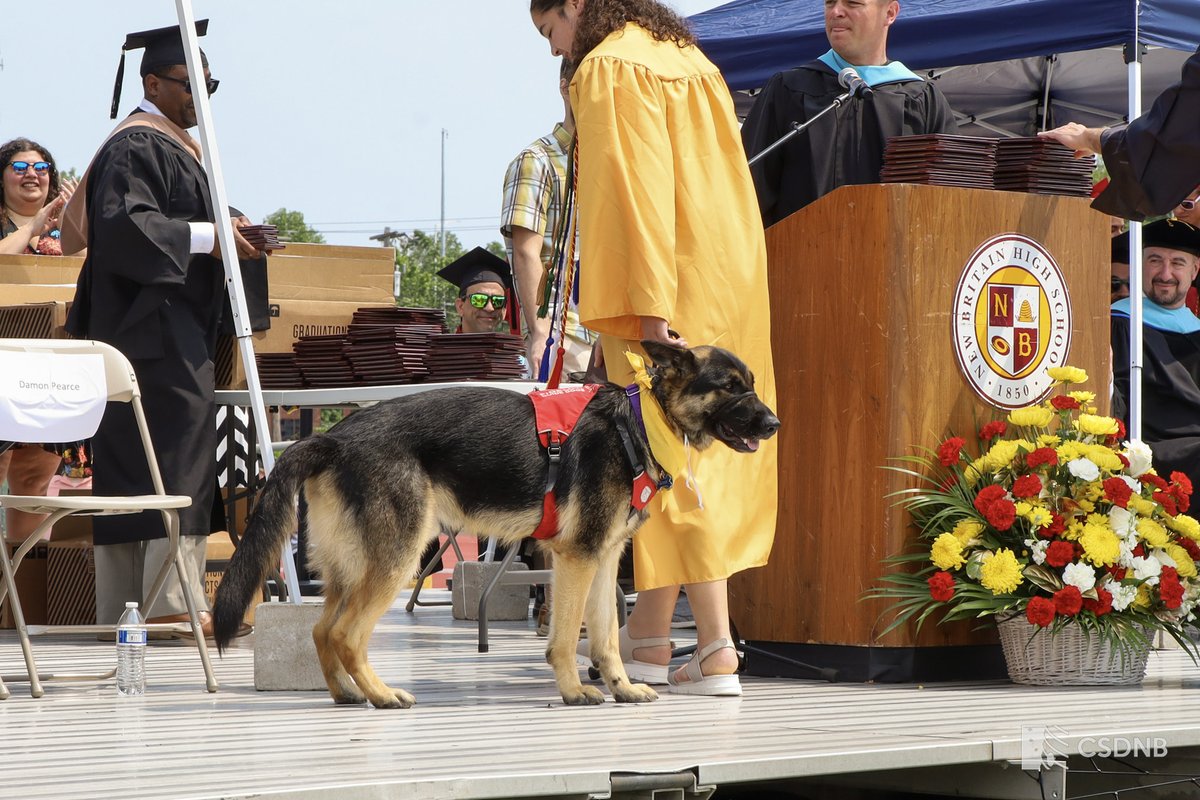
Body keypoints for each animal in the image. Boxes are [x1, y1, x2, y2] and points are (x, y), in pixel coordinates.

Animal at [212, 340, 782, 710]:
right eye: (730, 388)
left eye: (751, 385)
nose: (775, 424)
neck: (640, 423)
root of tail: (332, 437)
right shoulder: (578, 559)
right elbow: (566, 638)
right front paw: (574, 691)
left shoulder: (602, 561)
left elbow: (605, 637)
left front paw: (620, 686)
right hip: (399, 558)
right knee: (347, 635)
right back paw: (382, 695)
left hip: (355, 566)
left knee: (322, 628)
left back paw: (347, 694)